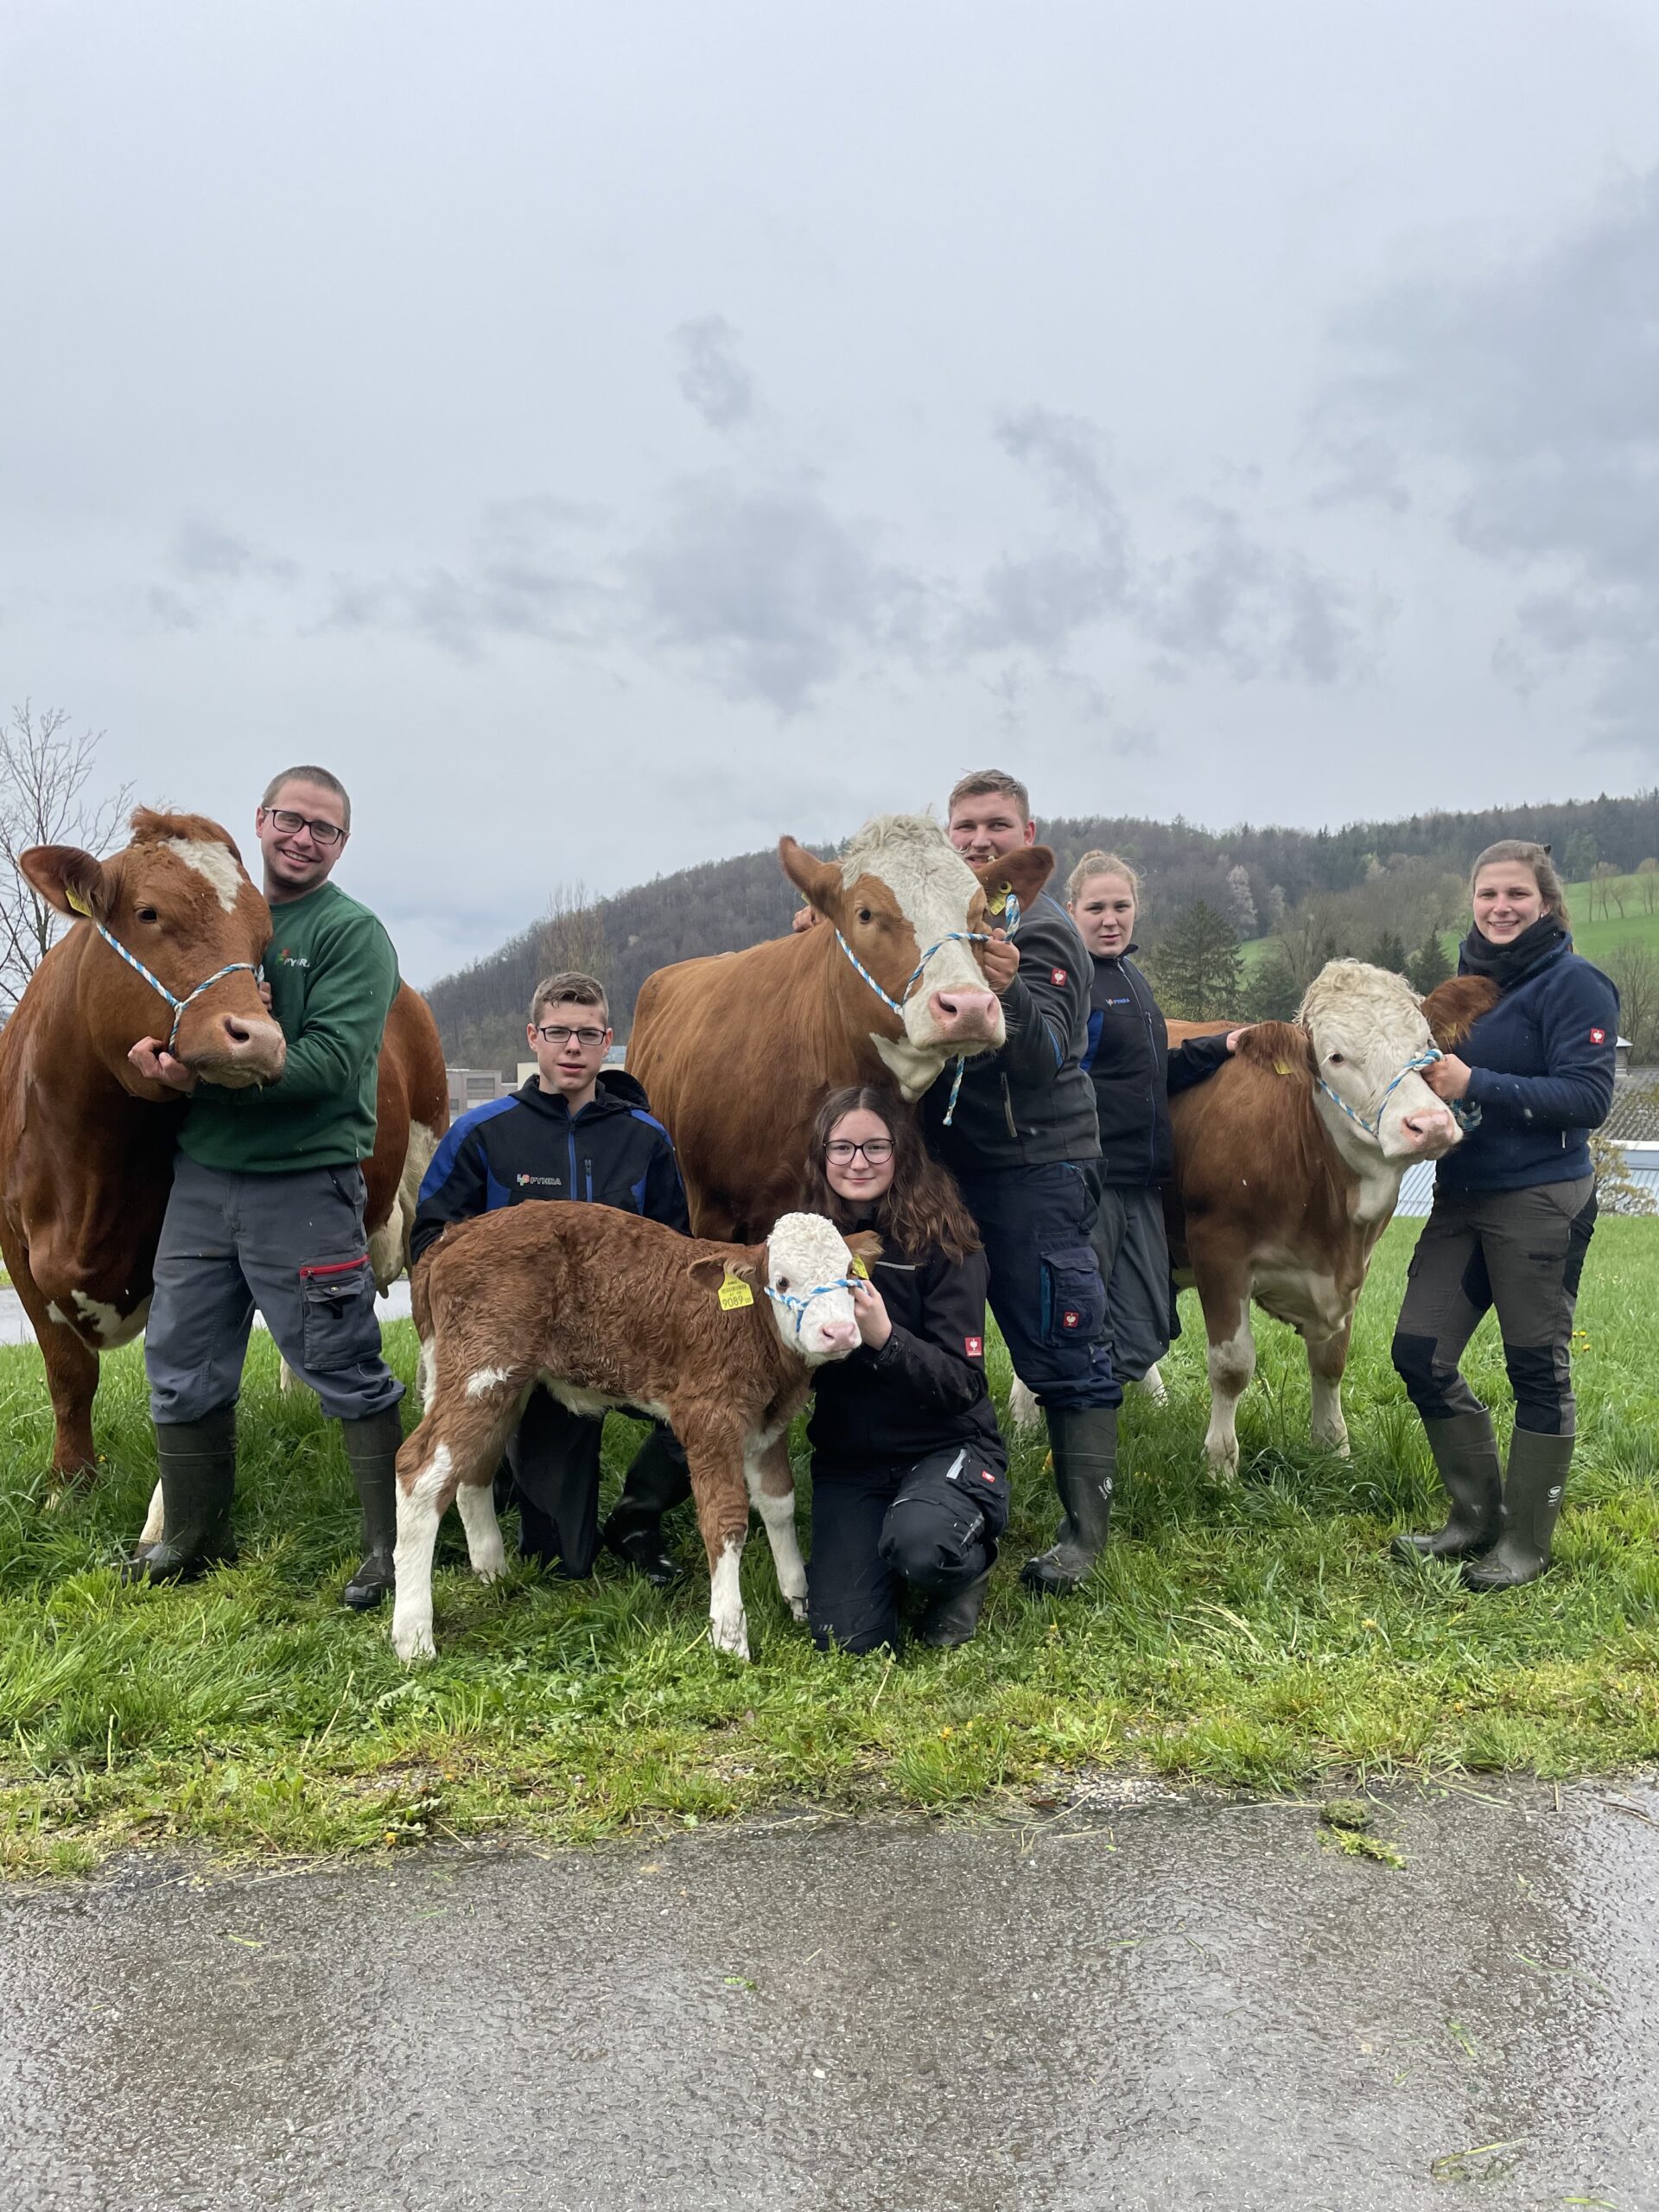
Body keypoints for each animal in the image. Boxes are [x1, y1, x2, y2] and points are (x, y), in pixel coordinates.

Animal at [393, 1211, 875, 1663]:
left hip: (500, 1381)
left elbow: (779, 1503)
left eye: (849, 1275)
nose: (840, 1332)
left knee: (472, 1464)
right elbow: (726, 1519)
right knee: (419, 1471)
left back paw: (492, 1569)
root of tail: (458, 1234)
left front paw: (799, 1597)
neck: (751, 1326)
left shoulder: (766, 1422)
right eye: (782, 1280)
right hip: (482, 1368)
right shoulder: (709, 1416)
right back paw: (414, 1638)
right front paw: (729, 1634)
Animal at [1159, 964, 1486, 1468]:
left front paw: (1334, 1449)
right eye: (1336, 1057)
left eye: (1425, 1043)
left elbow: (1331, 1361)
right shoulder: (1219, 1252)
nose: (1429, 1125)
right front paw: (1220, 1463)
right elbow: (1232, 1367)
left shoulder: (1353, 1267)